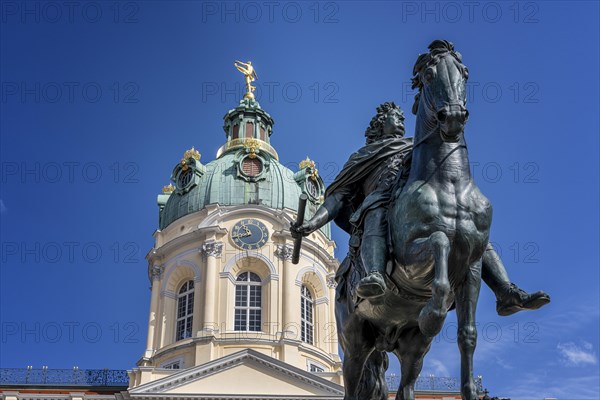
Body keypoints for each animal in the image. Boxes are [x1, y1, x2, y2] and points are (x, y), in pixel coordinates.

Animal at [336, 39, 490, 400]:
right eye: (430, 74)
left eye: (464, 72)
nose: (453, 117)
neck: (450, 182)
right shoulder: (409, 258)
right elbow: (440, 242)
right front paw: (433, 313)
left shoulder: (474, 266)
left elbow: (468, 334)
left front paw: (470, 391)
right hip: (355, 341)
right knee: (351, 386)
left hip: (412, 348)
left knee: (405, 388)